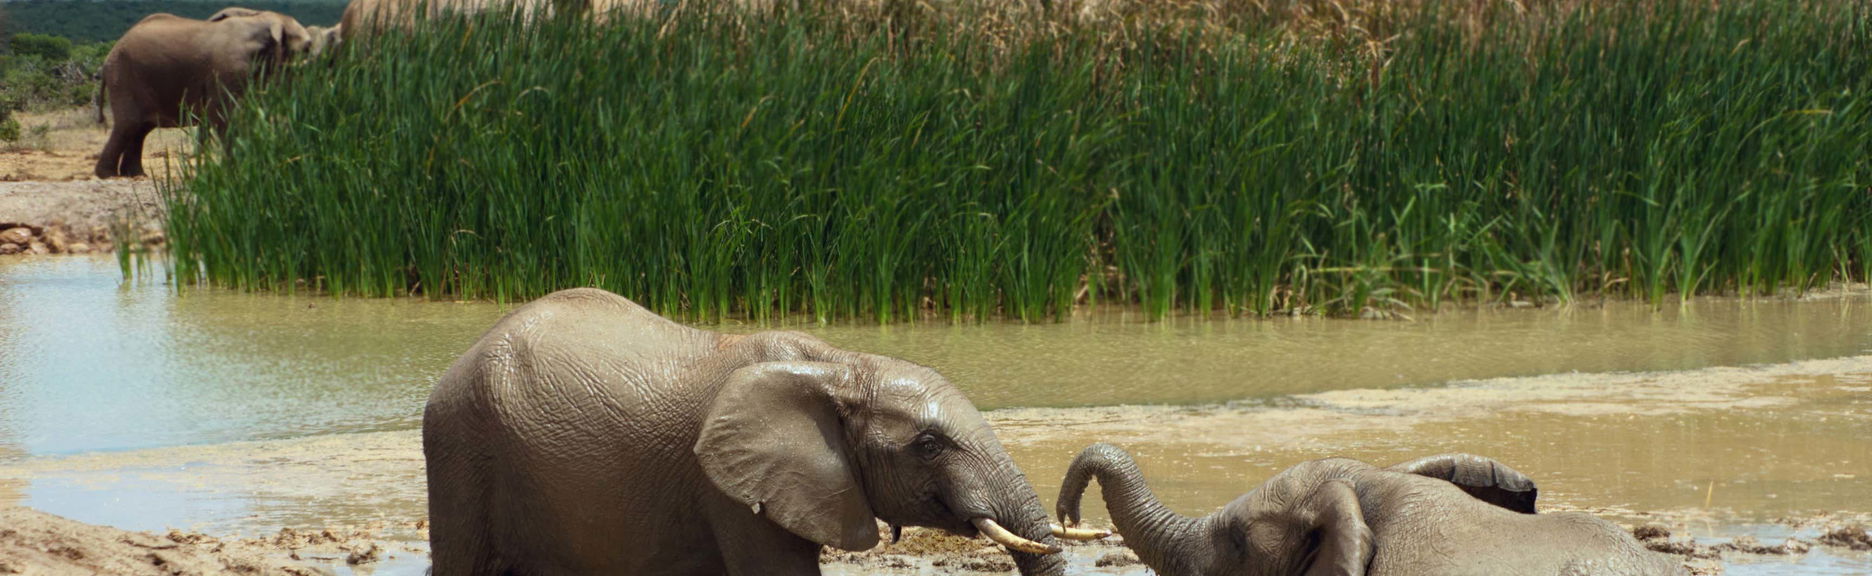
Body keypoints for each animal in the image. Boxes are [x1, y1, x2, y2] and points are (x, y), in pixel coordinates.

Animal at [93, 9, 316, 178]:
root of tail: (108, 58)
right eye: (307, 47)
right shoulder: (229, 69)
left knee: (140, 129)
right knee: (129, 125)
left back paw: (135, 175)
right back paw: (108, 176)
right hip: (124, 78)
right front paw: (236, 171)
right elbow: (226, 118)